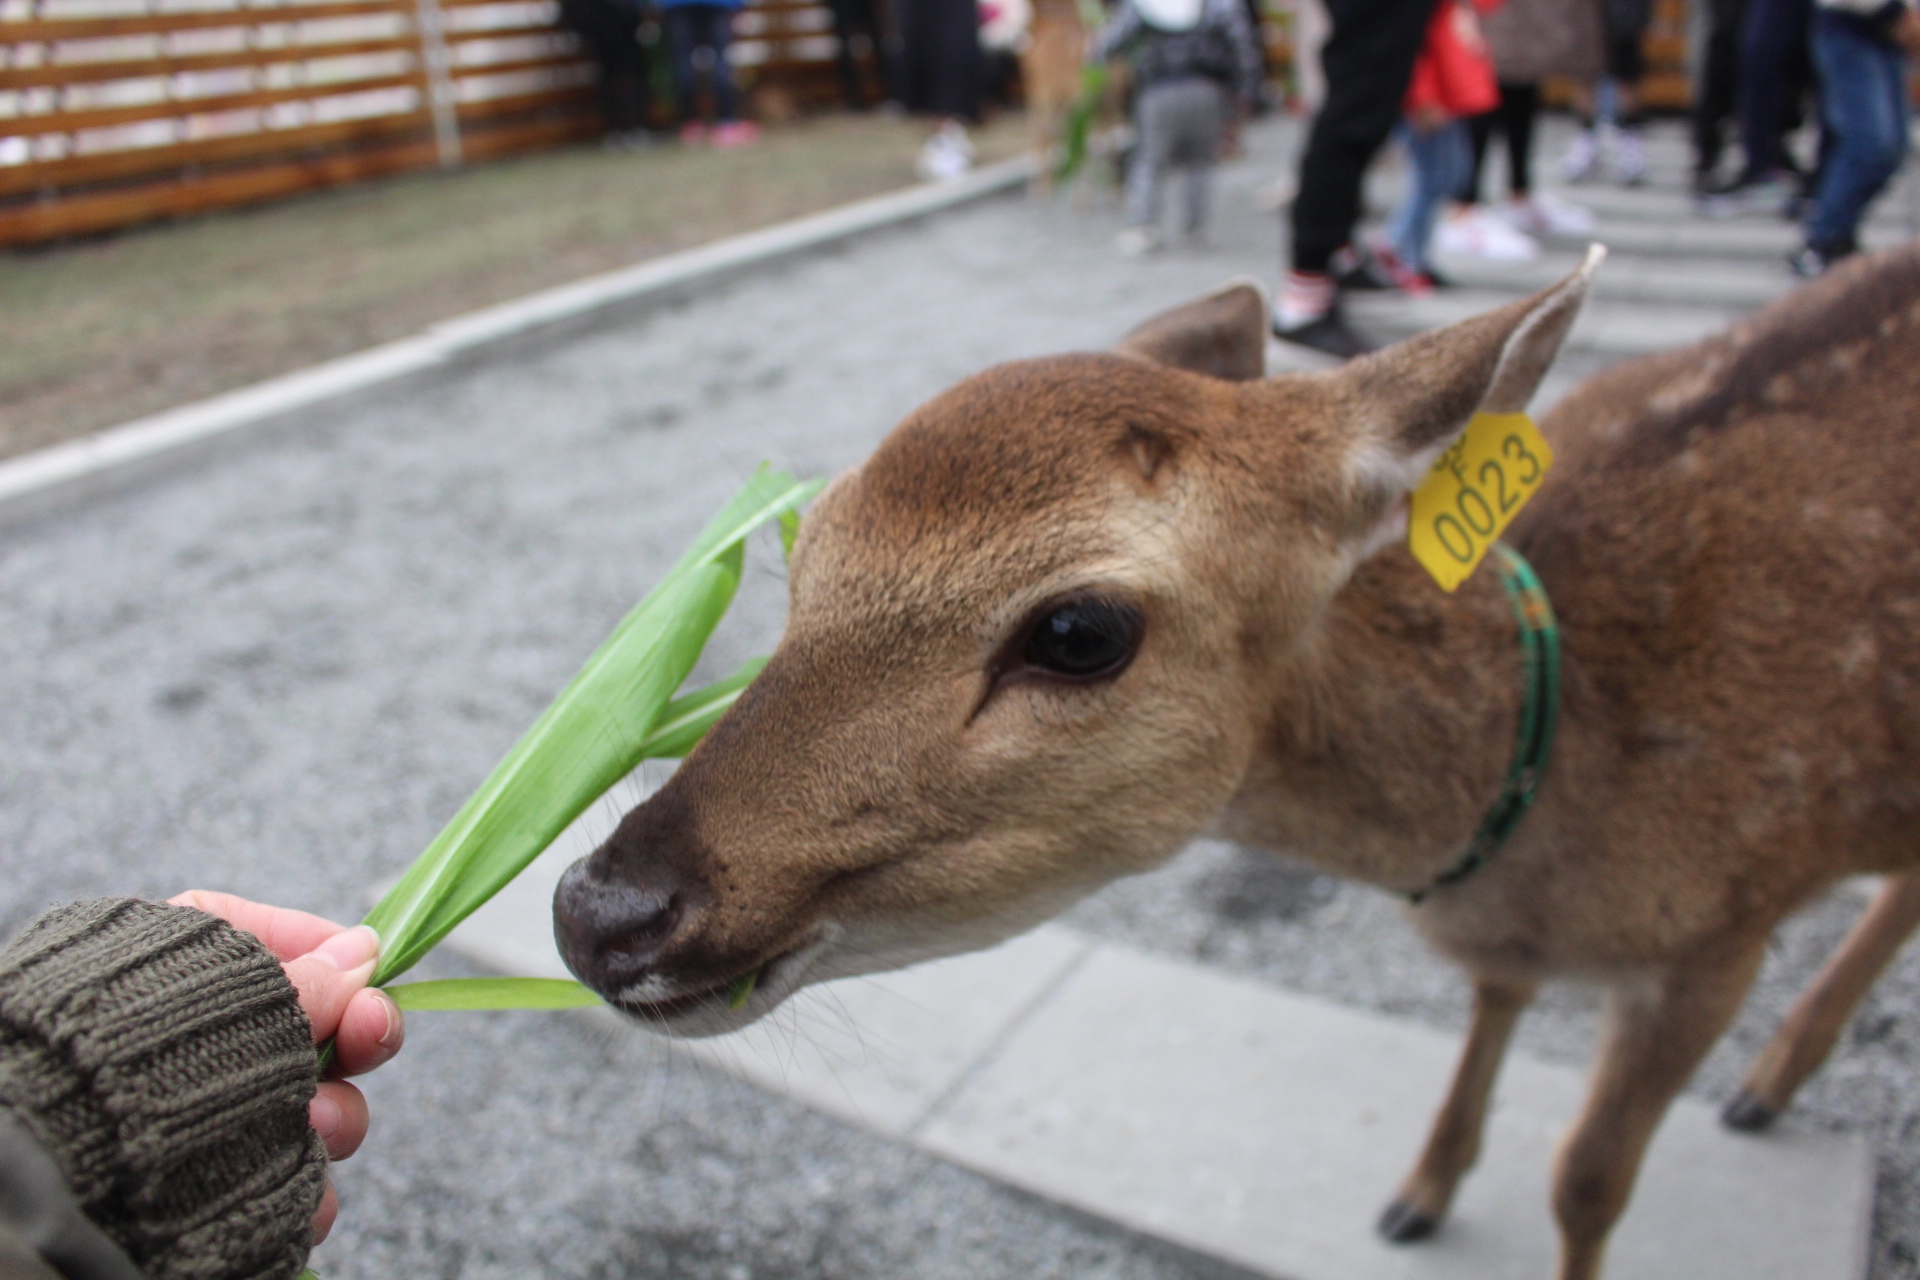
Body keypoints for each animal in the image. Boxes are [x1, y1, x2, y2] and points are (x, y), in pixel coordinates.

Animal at [552, 242, 1920, 1280]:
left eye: (1079, 630)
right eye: (808, 537)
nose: (599, 907)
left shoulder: (1722, 929)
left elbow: (1587, 1181)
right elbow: (1494, 1000)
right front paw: (1417, 1190)